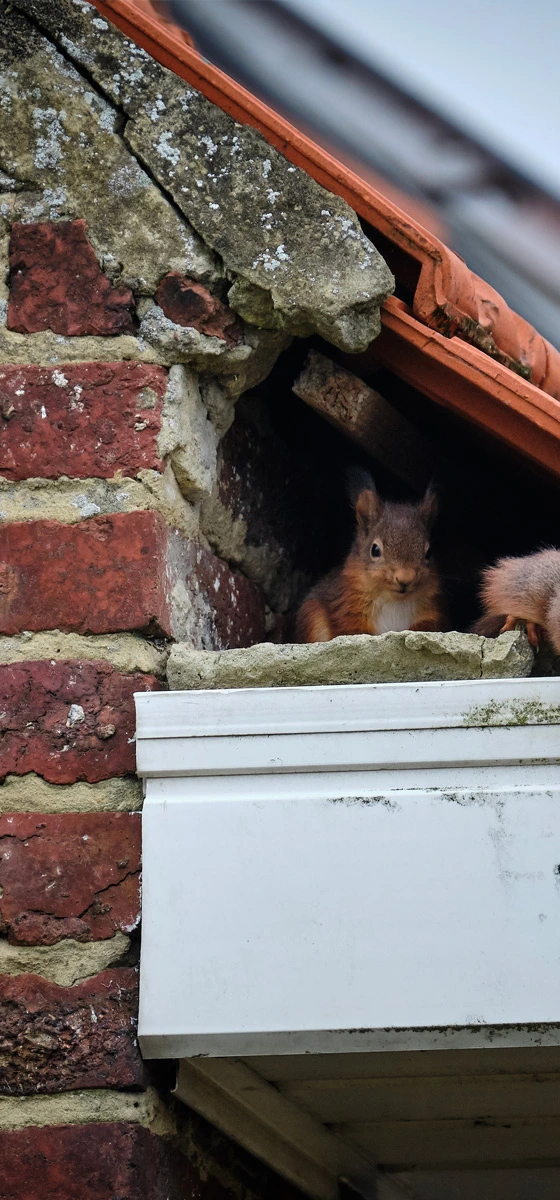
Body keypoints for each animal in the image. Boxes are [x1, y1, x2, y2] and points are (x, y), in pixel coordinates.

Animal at [296, 470, 446, 648]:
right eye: (375, 550)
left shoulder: (430, 613)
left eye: (429, 553)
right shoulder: (347, 608)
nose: (405, 578)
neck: (393, 600)